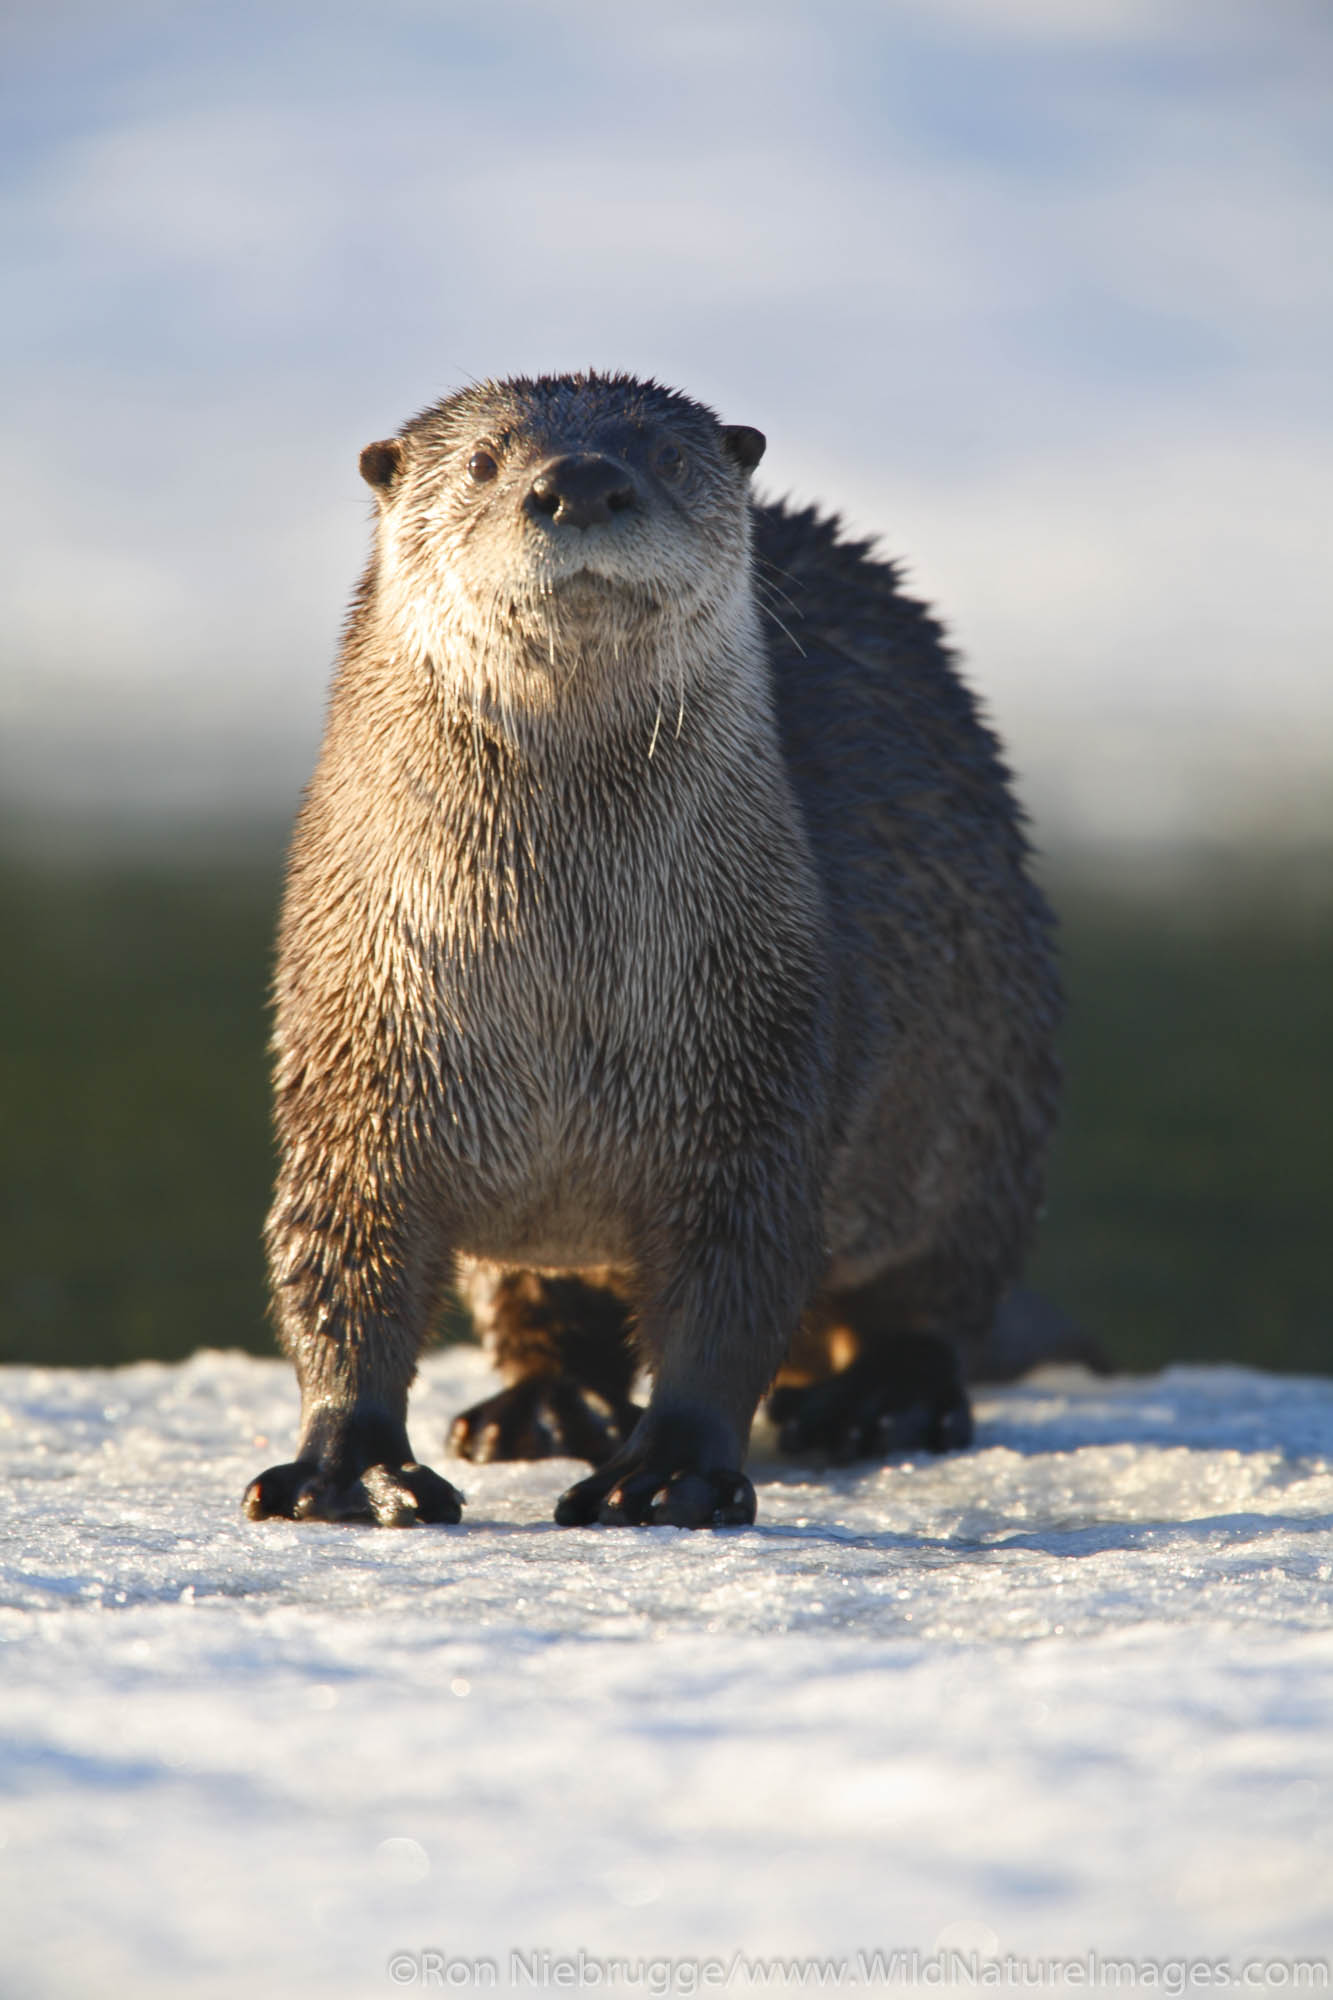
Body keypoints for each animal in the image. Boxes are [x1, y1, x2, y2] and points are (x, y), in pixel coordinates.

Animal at [244, 372, 1056, 1528]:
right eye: (483, 461)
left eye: (665, 457)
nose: (580, 482)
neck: (556, 1004)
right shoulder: (360, 1054)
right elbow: (342, 1260)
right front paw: (341, 1465)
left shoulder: (753, 1065)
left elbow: (733, 1285)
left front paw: (672, 1469)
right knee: (535, 1303)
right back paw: (539, 1409)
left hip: (989, 1107)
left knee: (932, 1296)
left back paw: (880, 1402)